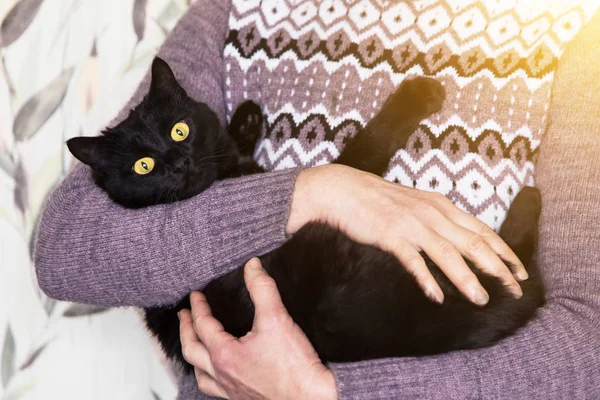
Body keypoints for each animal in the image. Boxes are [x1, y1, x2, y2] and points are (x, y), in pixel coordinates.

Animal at [65, 57, 544, 374]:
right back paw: (530, 199)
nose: (178, 164)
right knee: (520, 266)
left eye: (179, 129)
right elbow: (368, 145)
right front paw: (418, 95)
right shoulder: (347, 171)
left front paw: (244, 119)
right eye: (142, 166)